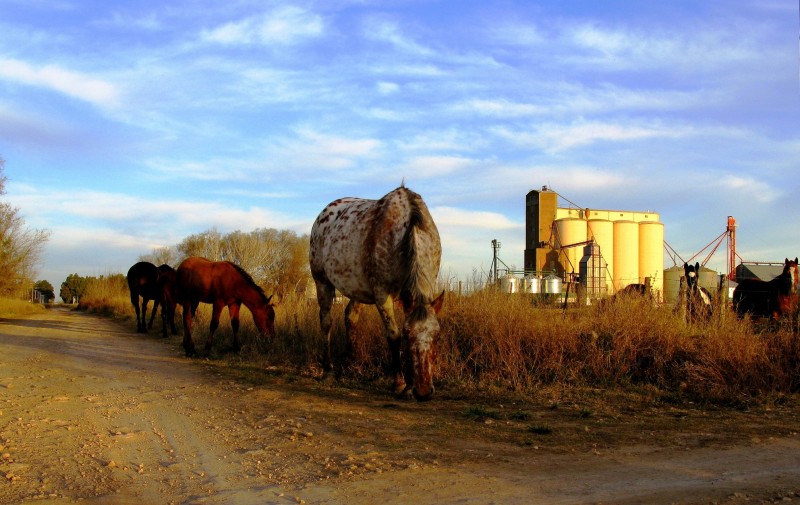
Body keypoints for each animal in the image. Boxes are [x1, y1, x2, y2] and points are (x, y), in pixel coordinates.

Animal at [310, 185, 444, 402]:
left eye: (437, 335)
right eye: (408, 334)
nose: (423, 391)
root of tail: (324, 213)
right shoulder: (383, 295)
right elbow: (393, 336)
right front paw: (400, 383)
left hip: (356, 288)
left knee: (350, 317)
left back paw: (348, 363)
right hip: (322, 281)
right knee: (326, 322)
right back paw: (328, 370)